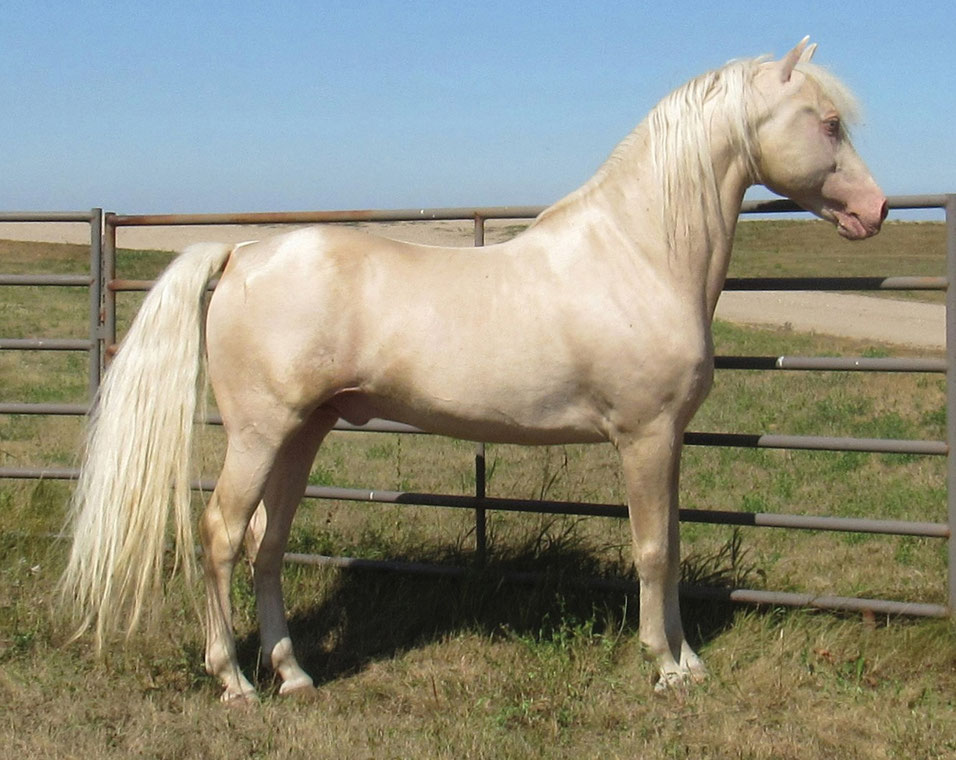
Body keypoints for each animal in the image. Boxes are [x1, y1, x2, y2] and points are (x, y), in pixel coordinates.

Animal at [60, 38, 886, 702]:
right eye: (828, 122)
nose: (875, 210)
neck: (638, 252)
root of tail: (241, 253)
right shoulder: (644, 436)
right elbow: (653, 551)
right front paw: (666, 666)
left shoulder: (668, 440)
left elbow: (673, 545)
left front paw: (687, 661)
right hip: (260, 433)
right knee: (223, 534)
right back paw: (233, 681)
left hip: (304, 433)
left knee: (268, 543)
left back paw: (294, 674)